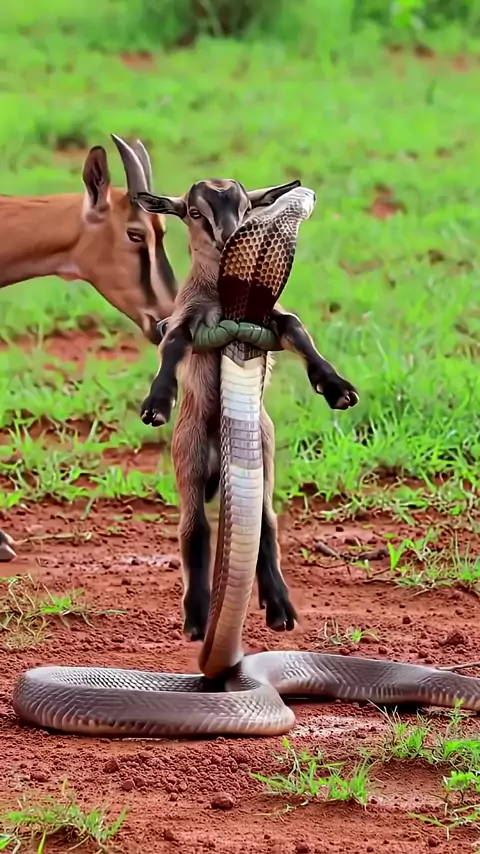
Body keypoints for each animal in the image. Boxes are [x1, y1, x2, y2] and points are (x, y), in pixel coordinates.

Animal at [136, 179, 359, 640]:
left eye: (245, 208)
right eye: (195, 212)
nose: (227, 237)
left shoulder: (270, 317)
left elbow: (294, 325)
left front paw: (336, 388)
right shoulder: (186, 318)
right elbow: (175, 340)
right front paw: (157, 402)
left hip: (264, 454)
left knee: (266, 522)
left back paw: (279, 608)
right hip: (188, 457)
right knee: (195, 528)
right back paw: (197, 619)